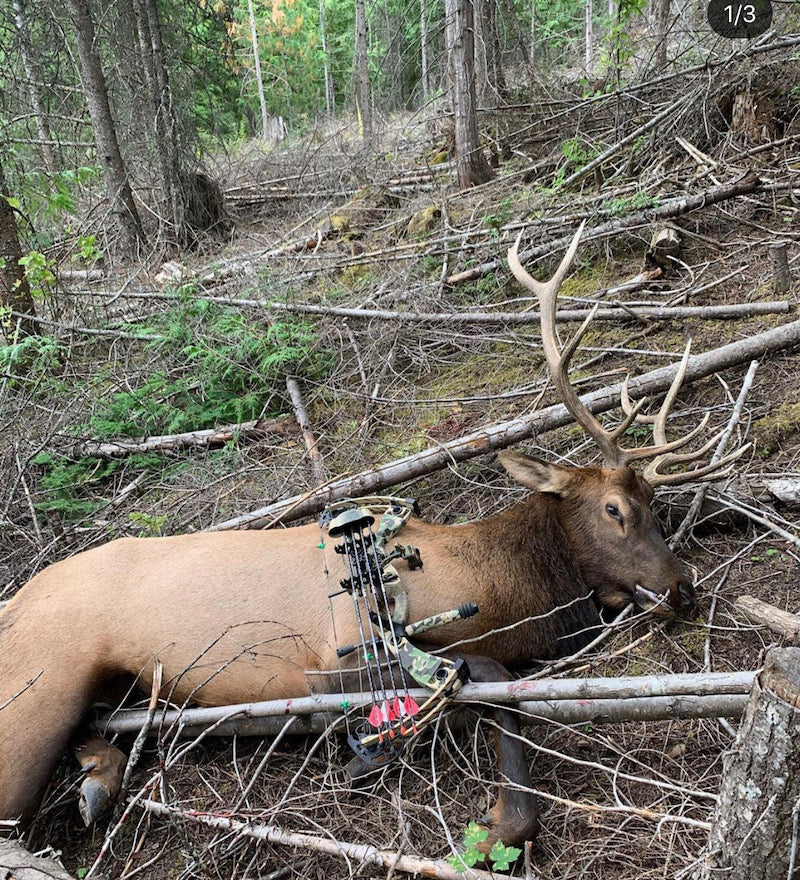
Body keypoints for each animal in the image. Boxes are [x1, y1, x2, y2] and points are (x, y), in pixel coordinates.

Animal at [0, 224, 744, 853]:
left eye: (658, 505)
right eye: (615, 509)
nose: (683, 588)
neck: (501, 586)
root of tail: (14, 599)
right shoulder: (332, 657)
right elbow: (492, 680)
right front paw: (499, 824)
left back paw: (99, 781)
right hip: (40, 686)